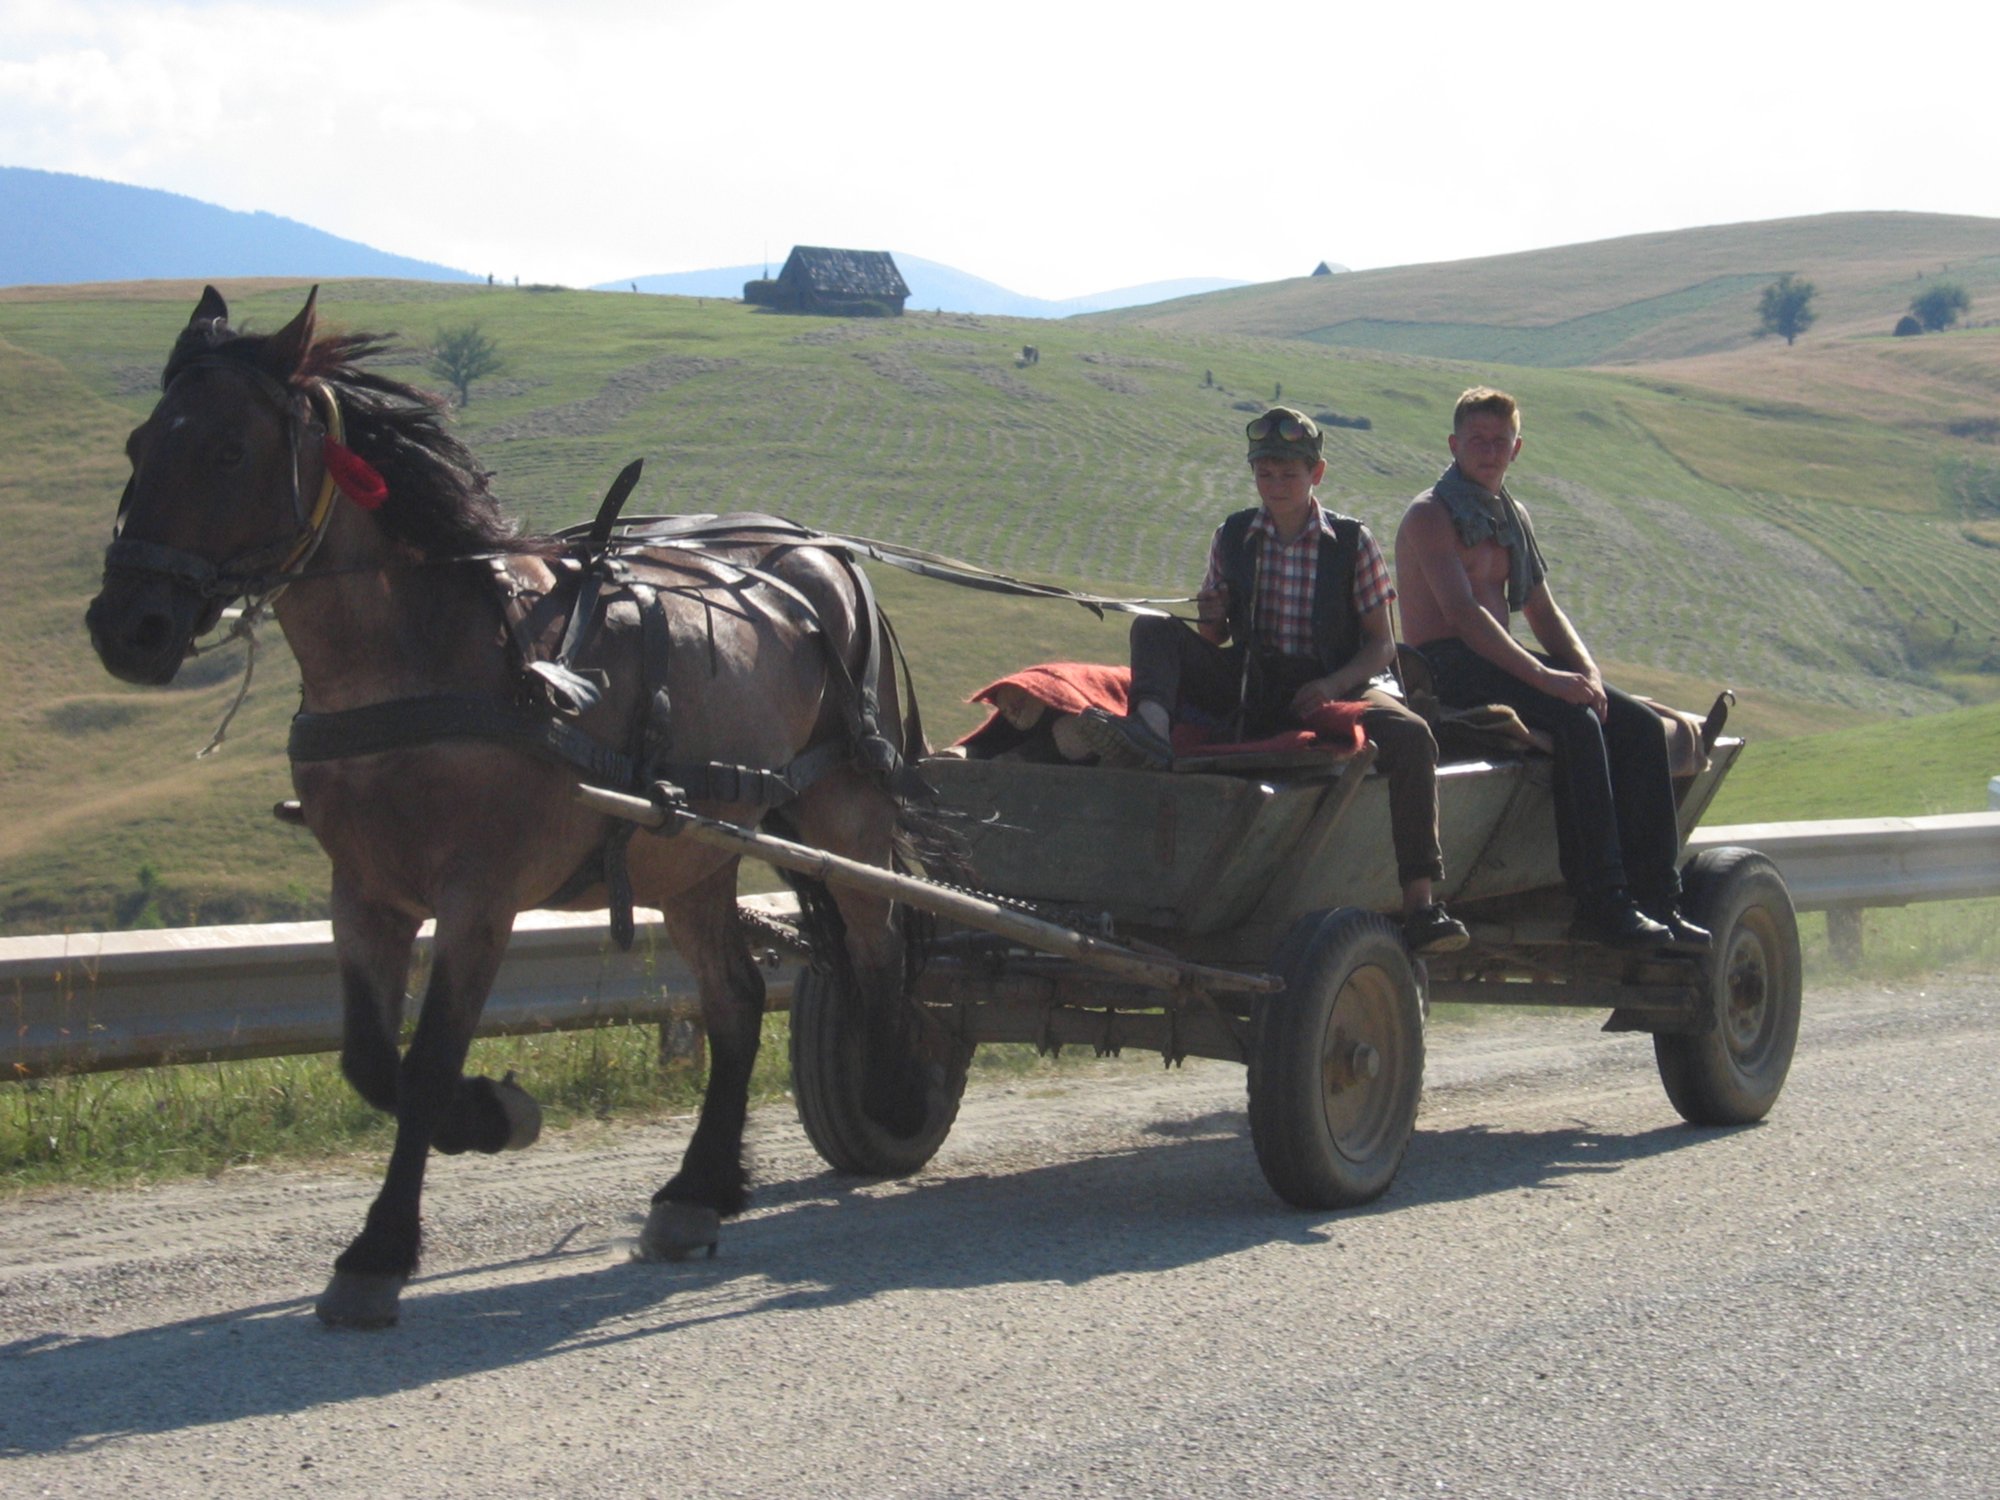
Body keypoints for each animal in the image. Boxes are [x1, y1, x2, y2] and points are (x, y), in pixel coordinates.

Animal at [94, 288, 960, 1336]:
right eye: (140, 444)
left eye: (228, 451)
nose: (126, 627)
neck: (434, 657)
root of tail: (817, 556)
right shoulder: (364, 892)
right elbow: (370, 1061)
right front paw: (488, 1118)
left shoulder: (482, 897)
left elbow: (427, 1060)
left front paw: (383, 1249)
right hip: (689, 855)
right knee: (736, 1002)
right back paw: (698, 1191)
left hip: (842, 809)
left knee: (877, 953)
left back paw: (894, 1090)